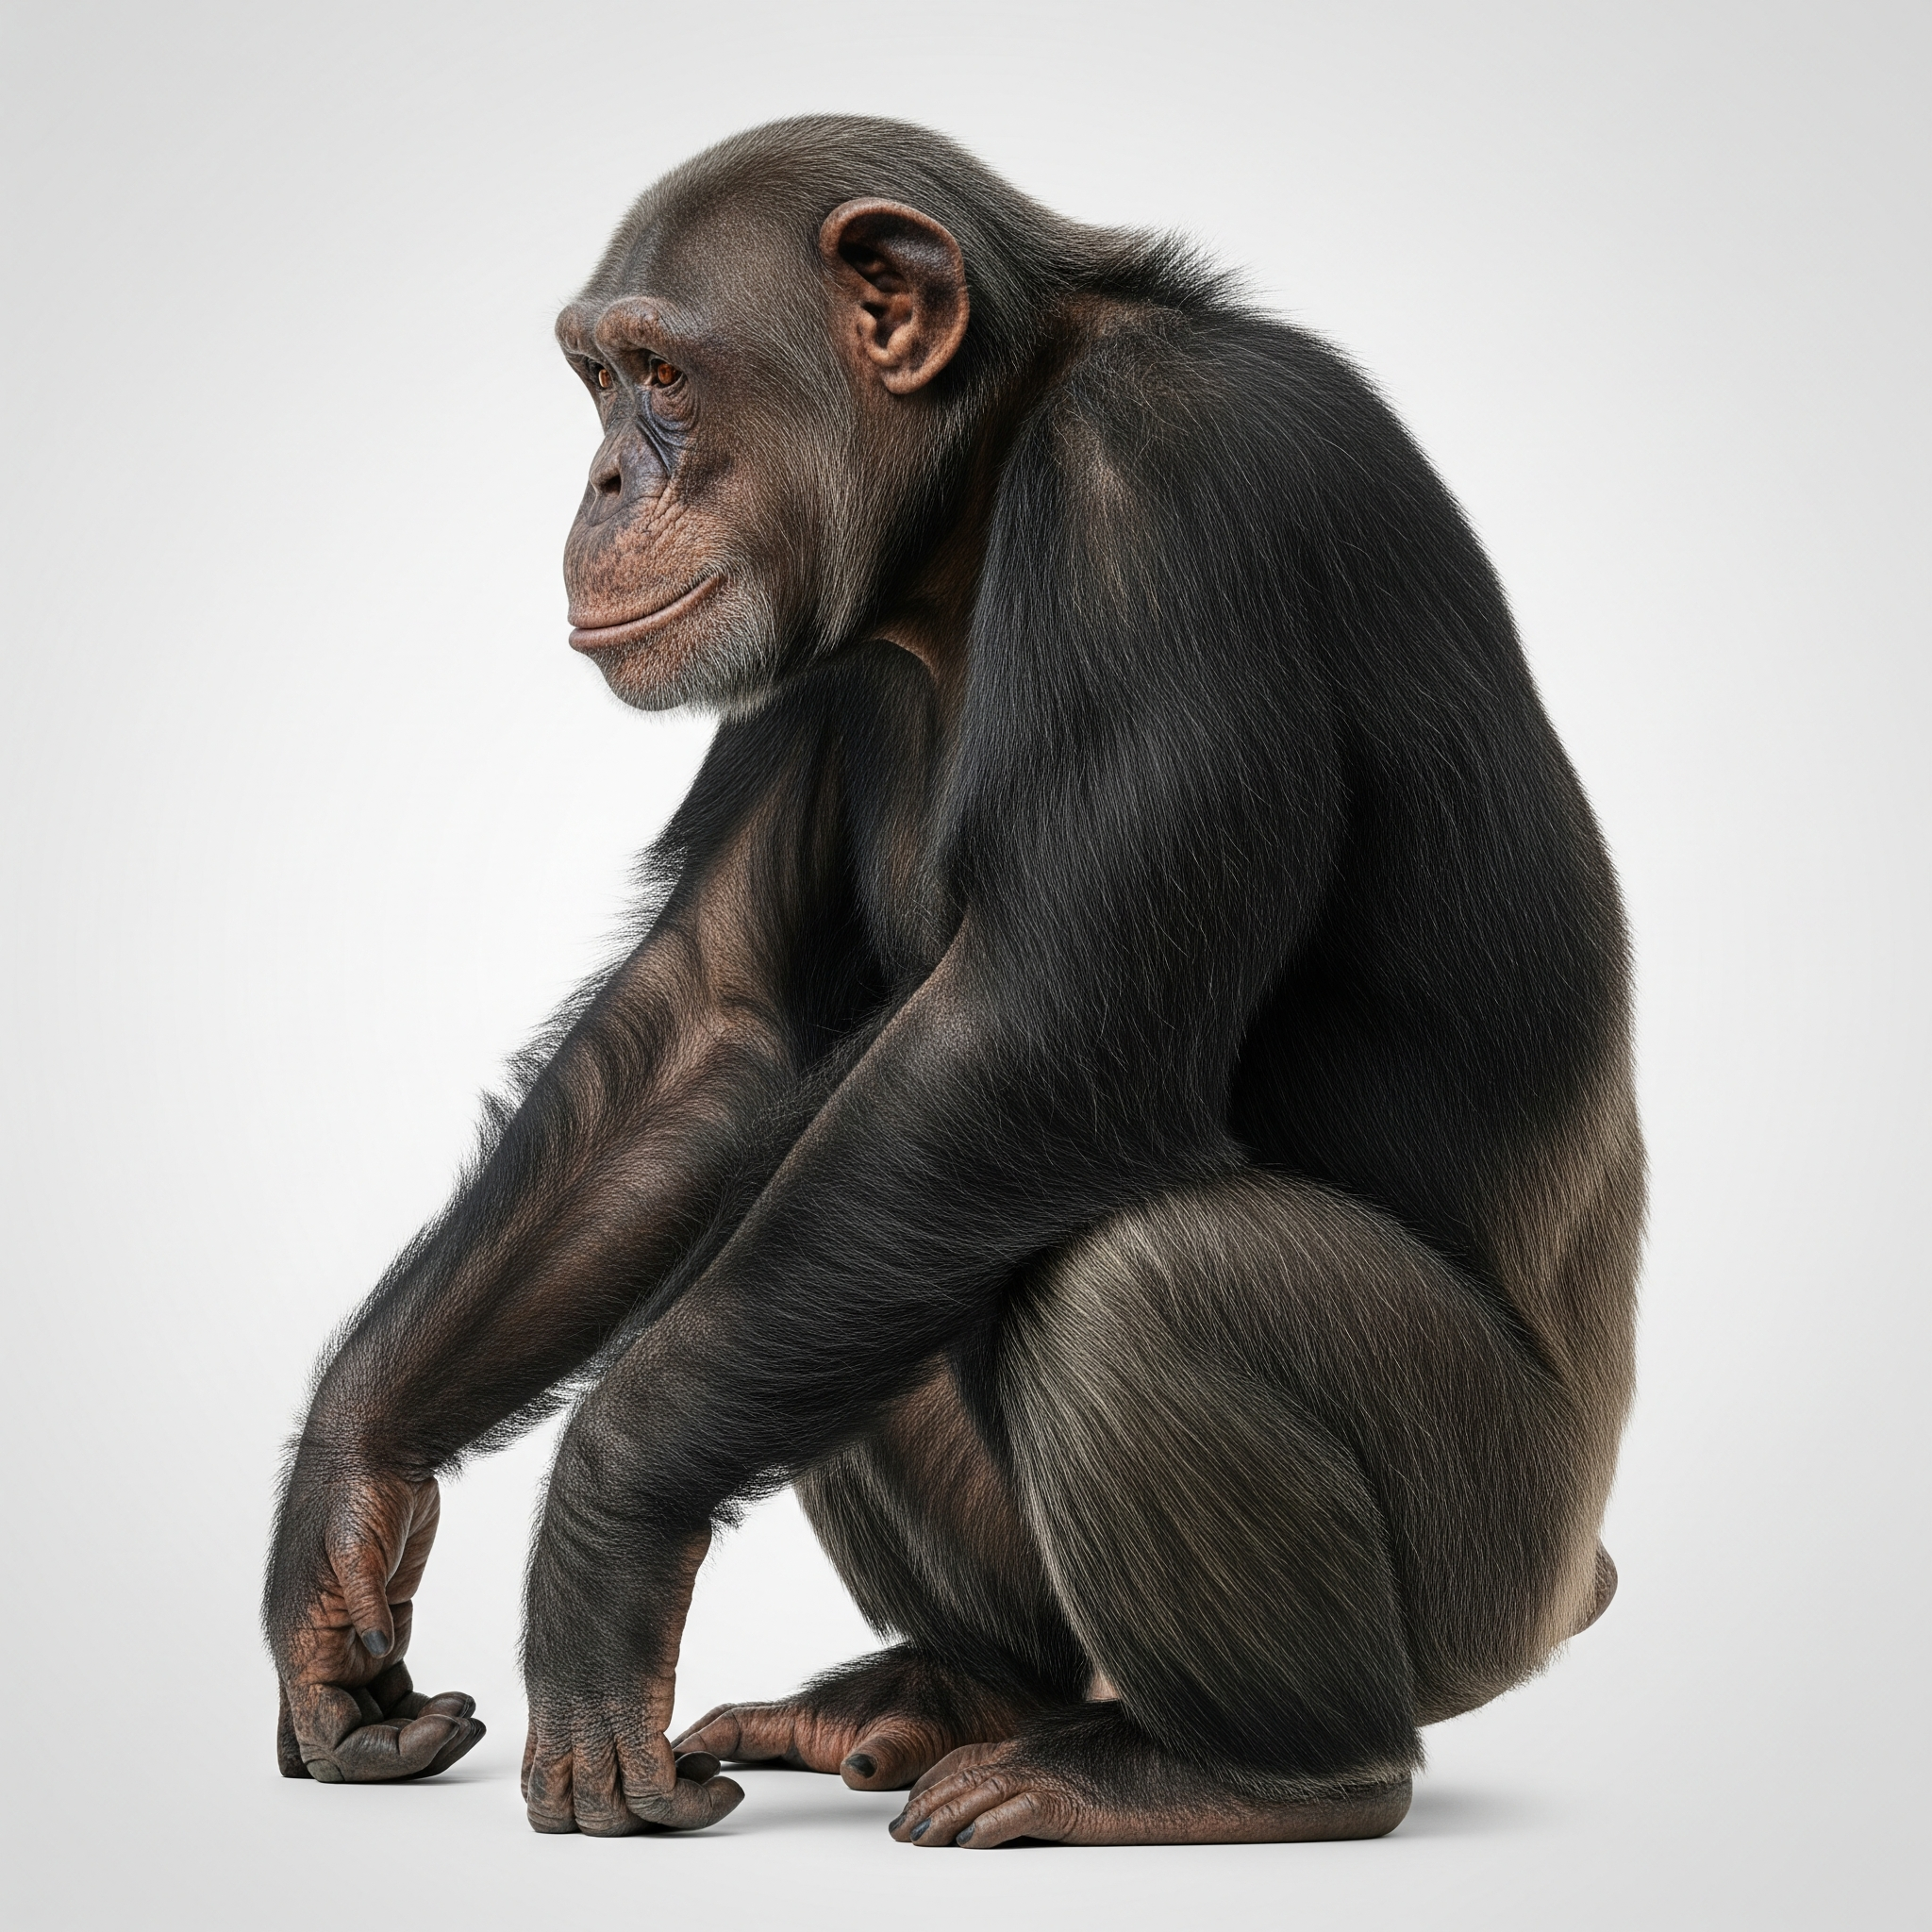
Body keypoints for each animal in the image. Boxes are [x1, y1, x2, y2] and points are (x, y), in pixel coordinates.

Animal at [265, 114, 1640, 1849]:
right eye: (595, 378)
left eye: (663, 373)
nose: (602, 478)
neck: (977, 499)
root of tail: (1577, 1577)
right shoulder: (813, 639)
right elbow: (713, 1020)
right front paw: (343, 1513)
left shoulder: (1168, 490)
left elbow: (1042, 1030)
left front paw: (600, 1539)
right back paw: (945, 1691)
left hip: (1486, 1565)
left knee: (1135, 1281)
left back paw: (1243, 1773)